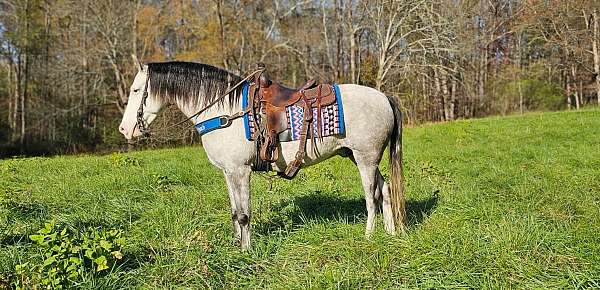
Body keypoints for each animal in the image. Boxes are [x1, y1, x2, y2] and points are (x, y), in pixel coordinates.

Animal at [119, 59, 406, 249]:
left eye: (136, 90)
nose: (124, 129)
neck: (224, 111)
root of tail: (385, 97)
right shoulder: (229, 172)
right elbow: (235, 211)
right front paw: (236, 245)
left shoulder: (240, 171)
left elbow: (244, 214)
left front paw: (247, 251)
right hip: (362, 158)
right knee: (386, 190)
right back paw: (391, 232)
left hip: (366, 159)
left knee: (371, 198)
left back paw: (369, 236)